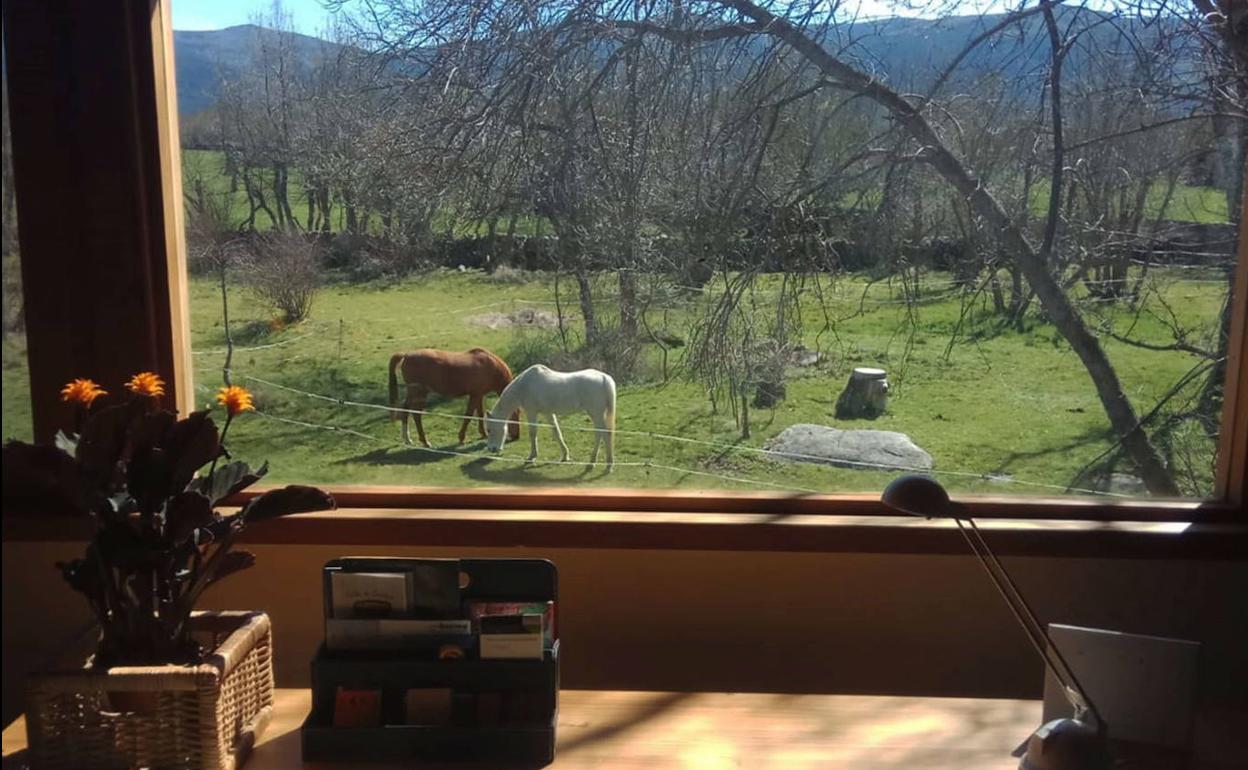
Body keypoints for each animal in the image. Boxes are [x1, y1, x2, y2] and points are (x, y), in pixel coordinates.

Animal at [386, 346, 519, 446]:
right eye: (516, 415)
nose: (517, 436)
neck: (490, 366)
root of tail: (406, 355)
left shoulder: (479, 395)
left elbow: (480, 414)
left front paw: (483, 433)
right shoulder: (475, 395)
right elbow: (468, 415)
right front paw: (462, 437)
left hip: (413, 393)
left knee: (405, 410)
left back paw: (407, 439)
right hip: (419, 393)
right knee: (416, 415)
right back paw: (425, 441)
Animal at [491, 364, 619, 469]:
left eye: (490, 429)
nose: (491, 449)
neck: (524, 385)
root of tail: (604, 378)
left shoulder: (531, 412)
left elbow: (533, 434)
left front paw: (532, 456)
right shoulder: (548, 413)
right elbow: (556, 432)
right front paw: (565, 456)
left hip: (595, 414)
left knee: (602, 434)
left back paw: (598, 463)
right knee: (603, 434)